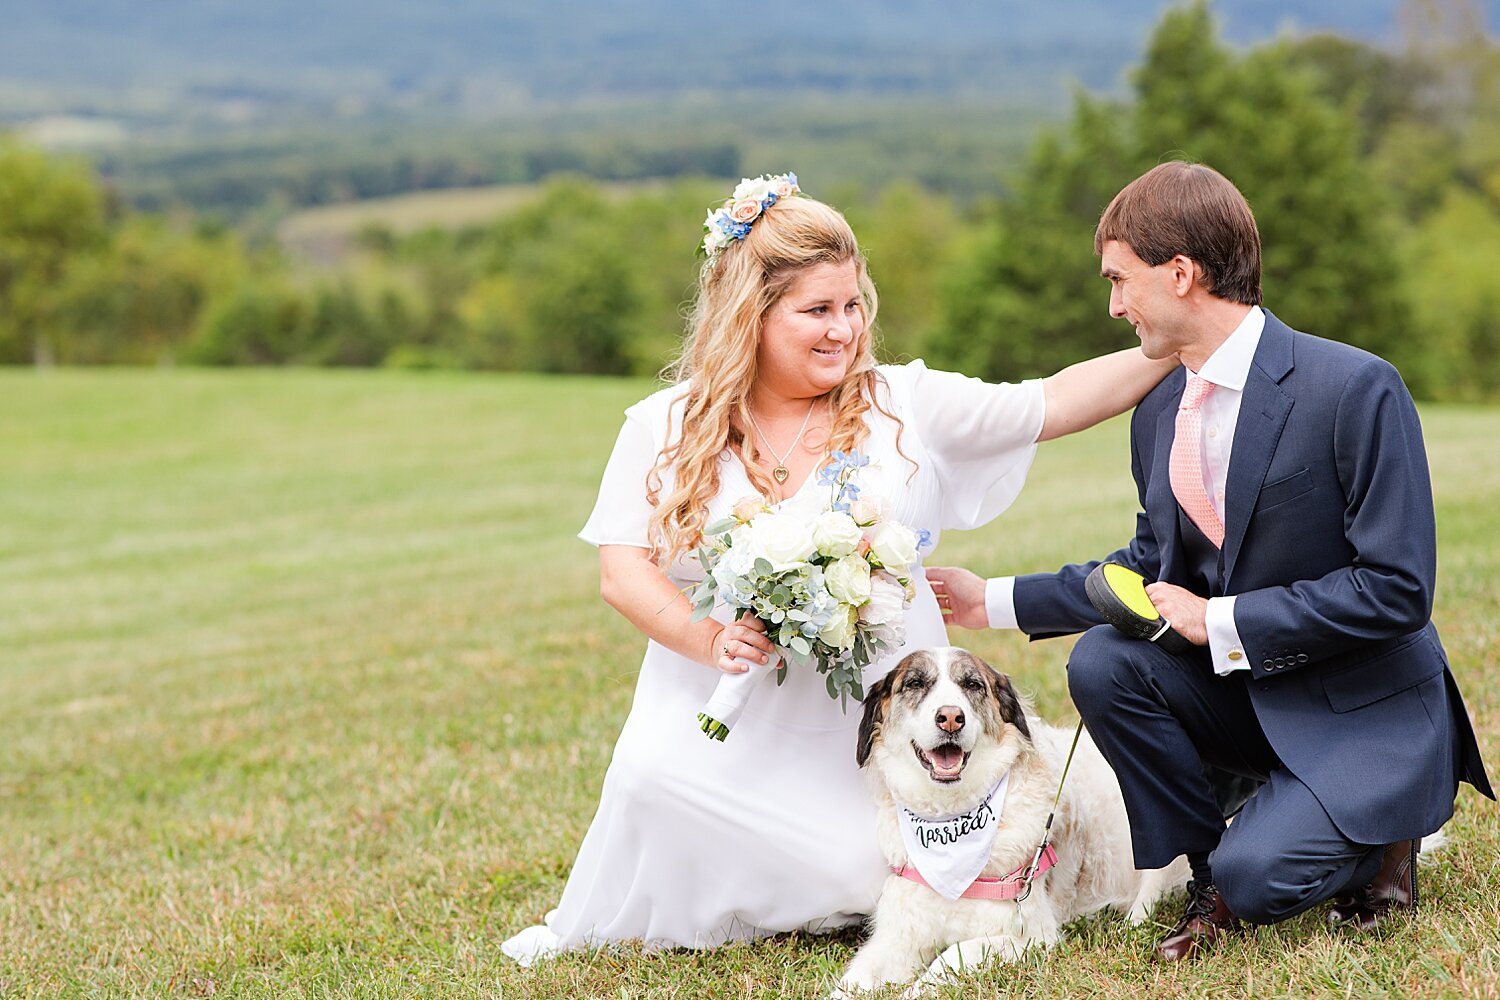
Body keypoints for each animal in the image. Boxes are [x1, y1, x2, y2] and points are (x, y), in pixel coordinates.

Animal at [834, 644, 1182, 995]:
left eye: (972, 685)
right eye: (915, 683)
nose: (951, 718)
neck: (950, 817)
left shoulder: (1031, 936)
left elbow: (953, 954)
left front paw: (917, 989)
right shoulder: (897, 937)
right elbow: (852, 980)